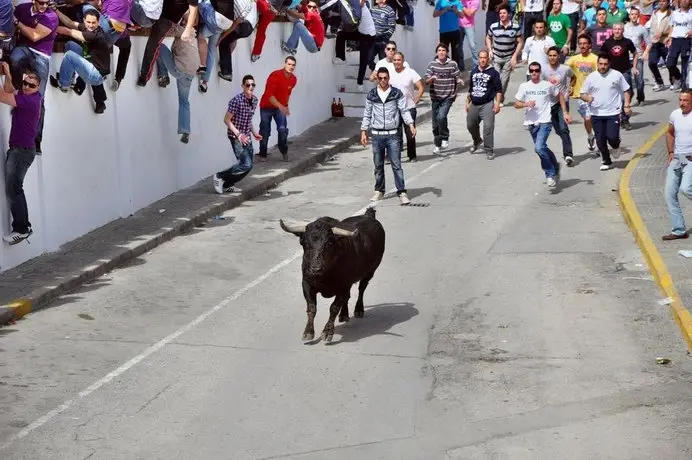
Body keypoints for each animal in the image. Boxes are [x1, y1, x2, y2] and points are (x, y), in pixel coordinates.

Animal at [278, 208, 384, 342]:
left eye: (329, 243)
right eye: (305, 243)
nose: (315, 268)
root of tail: (369, 215)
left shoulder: (343, 286)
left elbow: (333, 308)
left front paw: (327, 332)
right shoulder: (306, 283)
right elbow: (311, 307)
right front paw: (308, 332)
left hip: (370, 271)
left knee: (362, 289)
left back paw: (358, 310)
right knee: (348, 297)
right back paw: (344, 315)